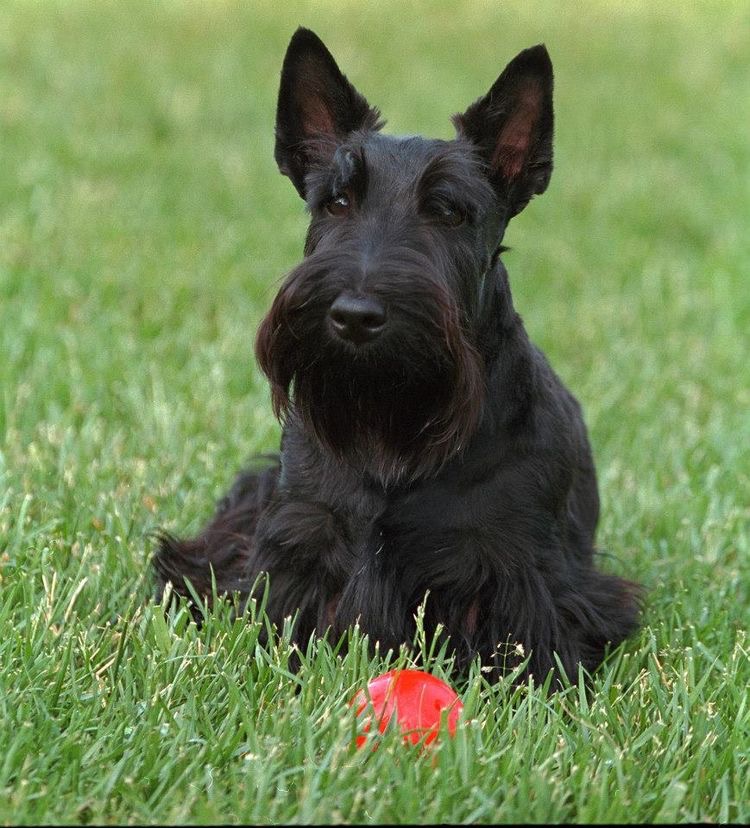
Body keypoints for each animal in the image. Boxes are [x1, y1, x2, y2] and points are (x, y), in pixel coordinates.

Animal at [154, 27, 641, 684]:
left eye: (449, 211)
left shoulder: (518, 572)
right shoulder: (302, 533)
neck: (391, 419)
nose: (355, 315)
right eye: (336, 201)